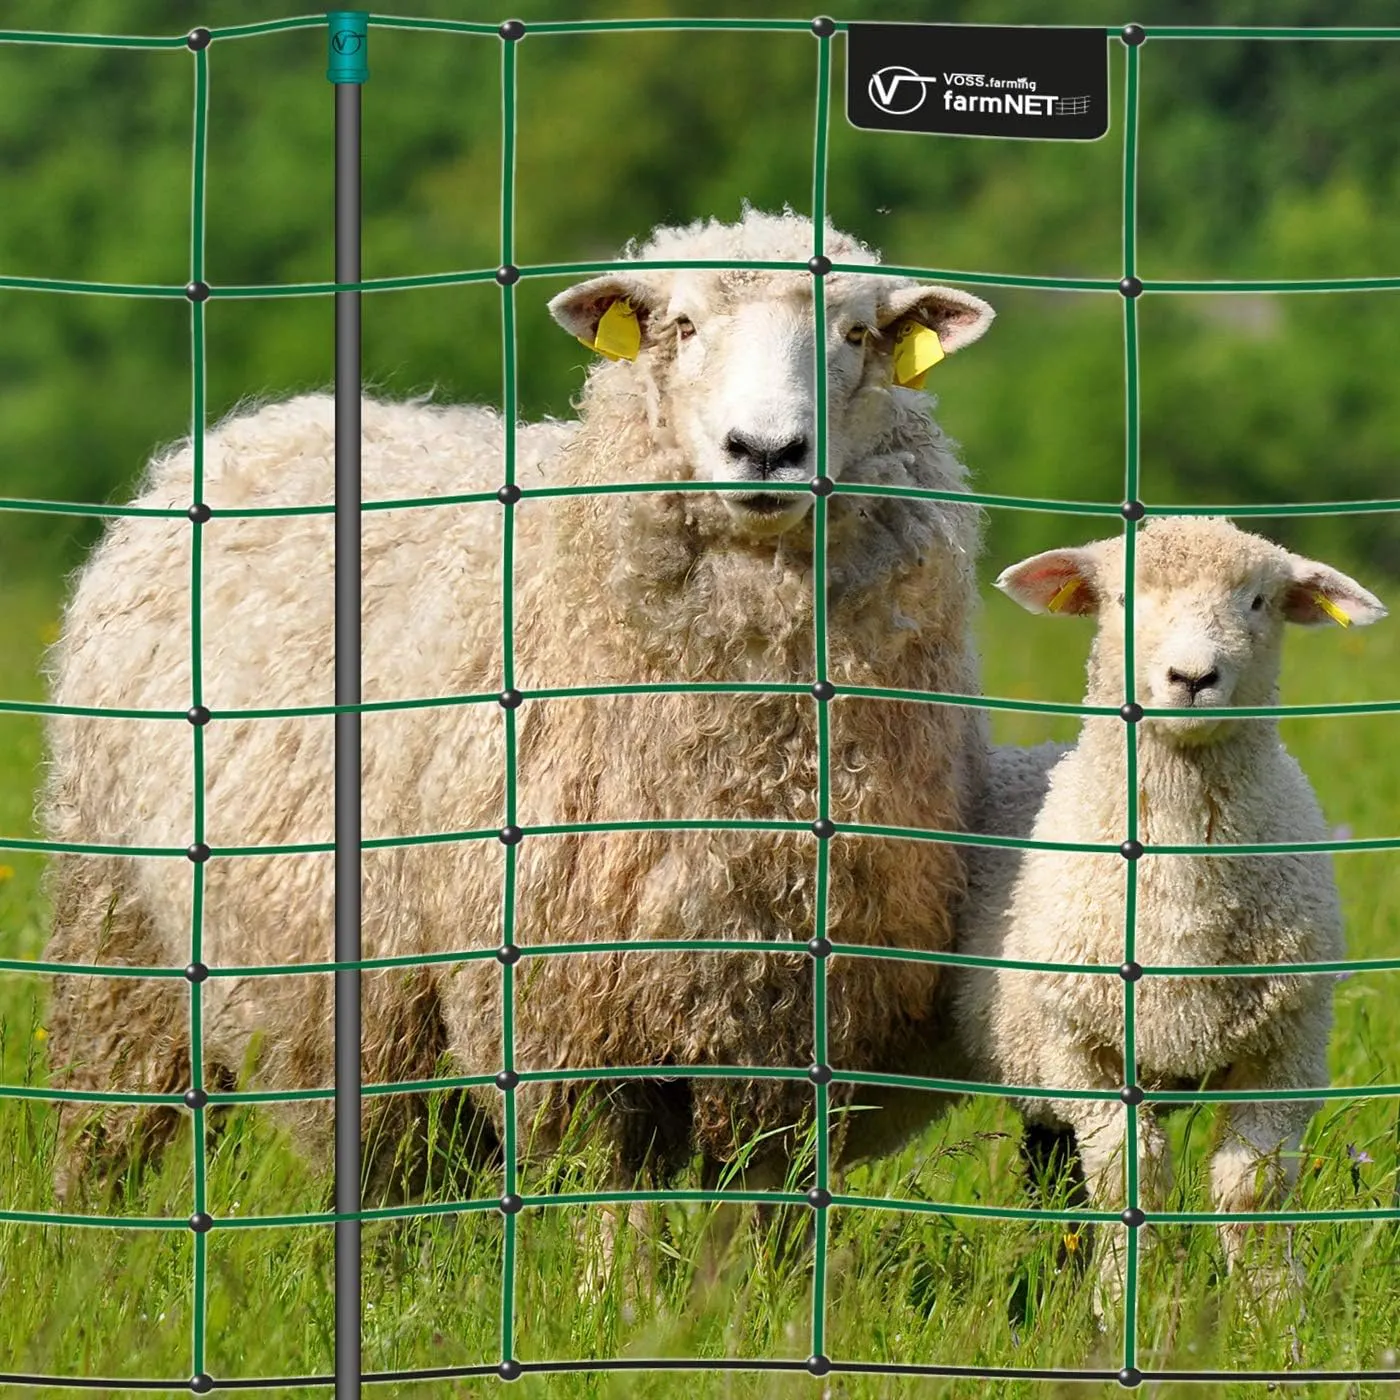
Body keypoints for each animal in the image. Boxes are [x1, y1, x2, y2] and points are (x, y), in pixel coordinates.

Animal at [41, 207, 997, 1219]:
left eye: (856, 335)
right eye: (683, 325)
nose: (767, 451)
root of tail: (258, 423)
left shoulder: (787, 1034)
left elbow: (752, 1219)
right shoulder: (574, 1022)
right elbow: (614, 1213)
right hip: (116, 931)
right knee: (107, 1127)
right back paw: (85, 1243)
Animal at [952, 516, 1385, 1305]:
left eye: (1257, 601)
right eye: (1123, 597)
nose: (1191, 679)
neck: (1182, 909)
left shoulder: (1289, 1049)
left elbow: (1251, 1187)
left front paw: (1271, 1308)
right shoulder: (1081, 1051)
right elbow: (1132, 1177)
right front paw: (1131, 1297)